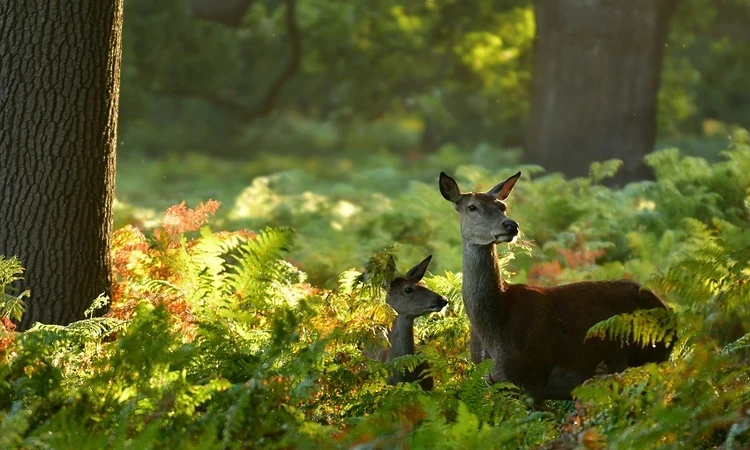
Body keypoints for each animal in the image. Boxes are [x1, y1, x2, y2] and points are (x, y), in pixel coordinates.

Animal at [438, 171, 672, 402]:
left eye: (502, 206)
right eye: (472, 207)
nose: (511, 225)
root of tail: (666, 308)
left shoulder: (534, 378)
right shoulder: (493, 384)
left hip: (649, 359)